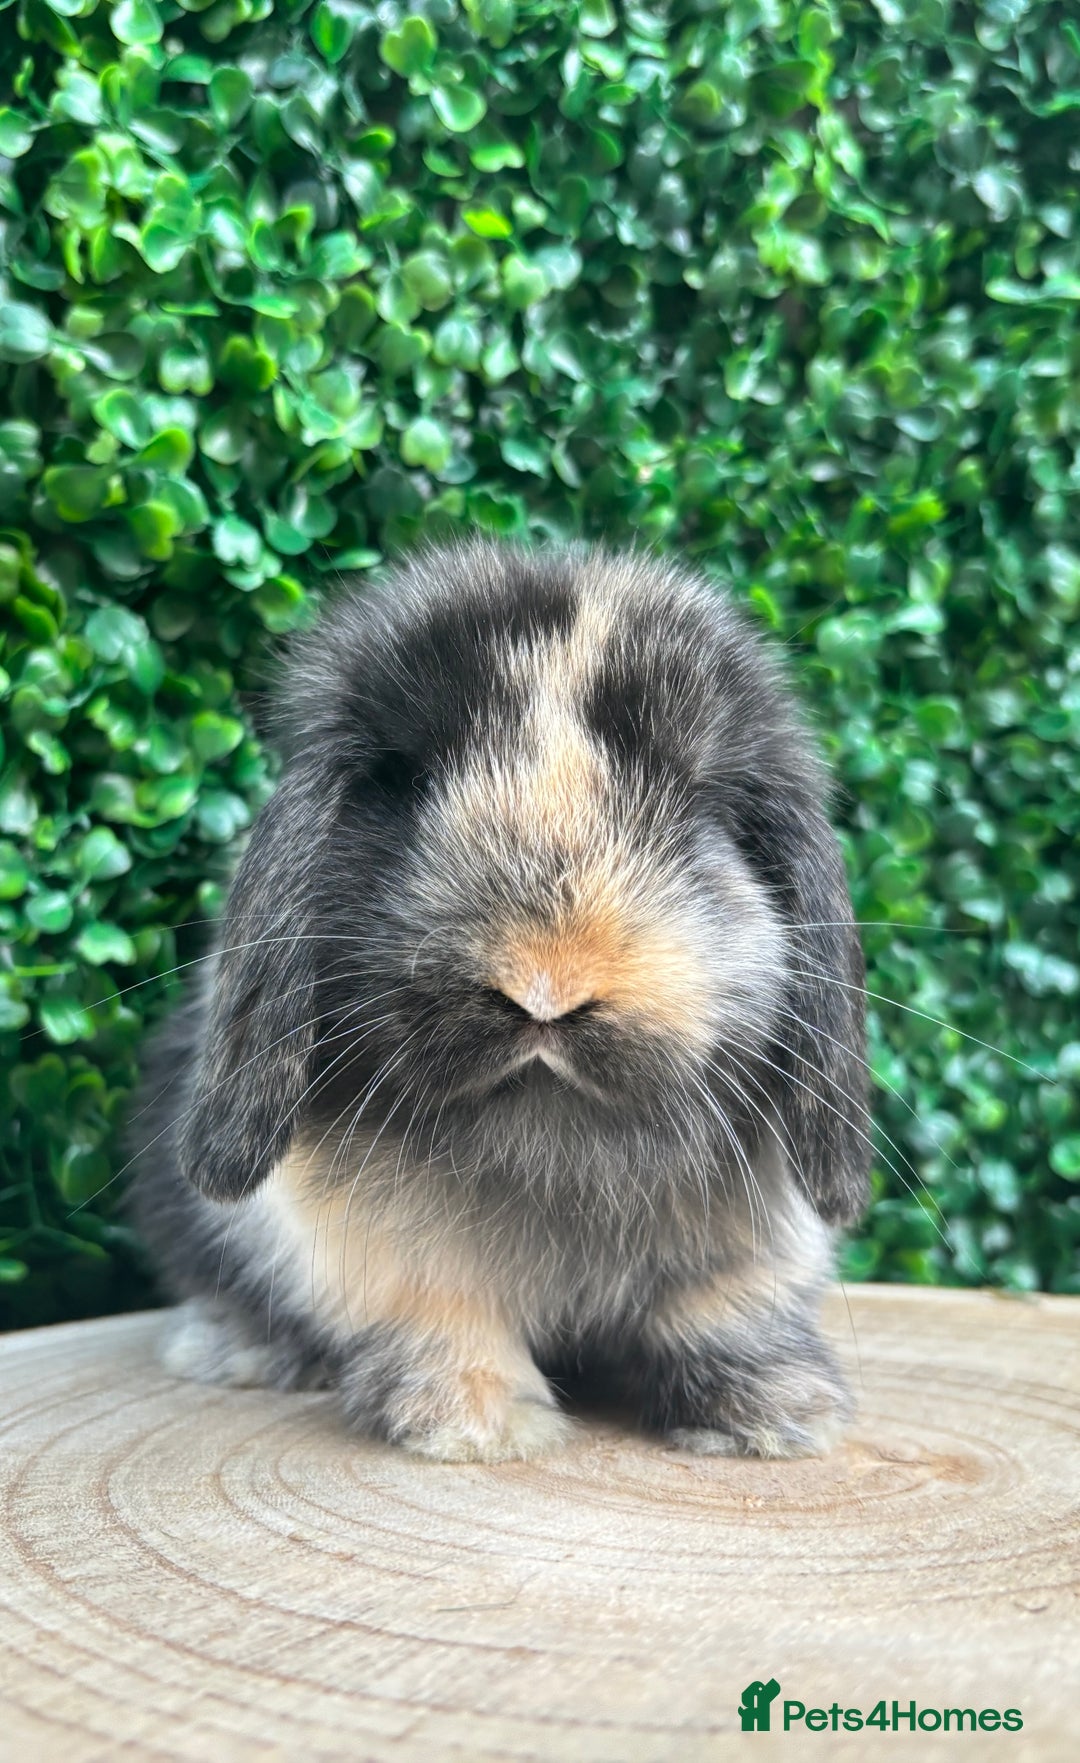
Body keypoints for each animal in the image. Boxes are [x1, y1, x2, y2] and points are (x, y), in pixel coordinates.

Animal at [130, 540, 870, 1463]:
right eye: (407, 783)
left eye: (702, 809)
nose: (545, 987)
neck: (553, 1139)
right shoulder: (378, 1250)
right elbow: (444, 1311)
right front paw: (476, 1426)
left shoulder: (751, 1248)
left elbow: (724, 1313)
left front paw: (777, 1414)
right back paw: (236, 1348)